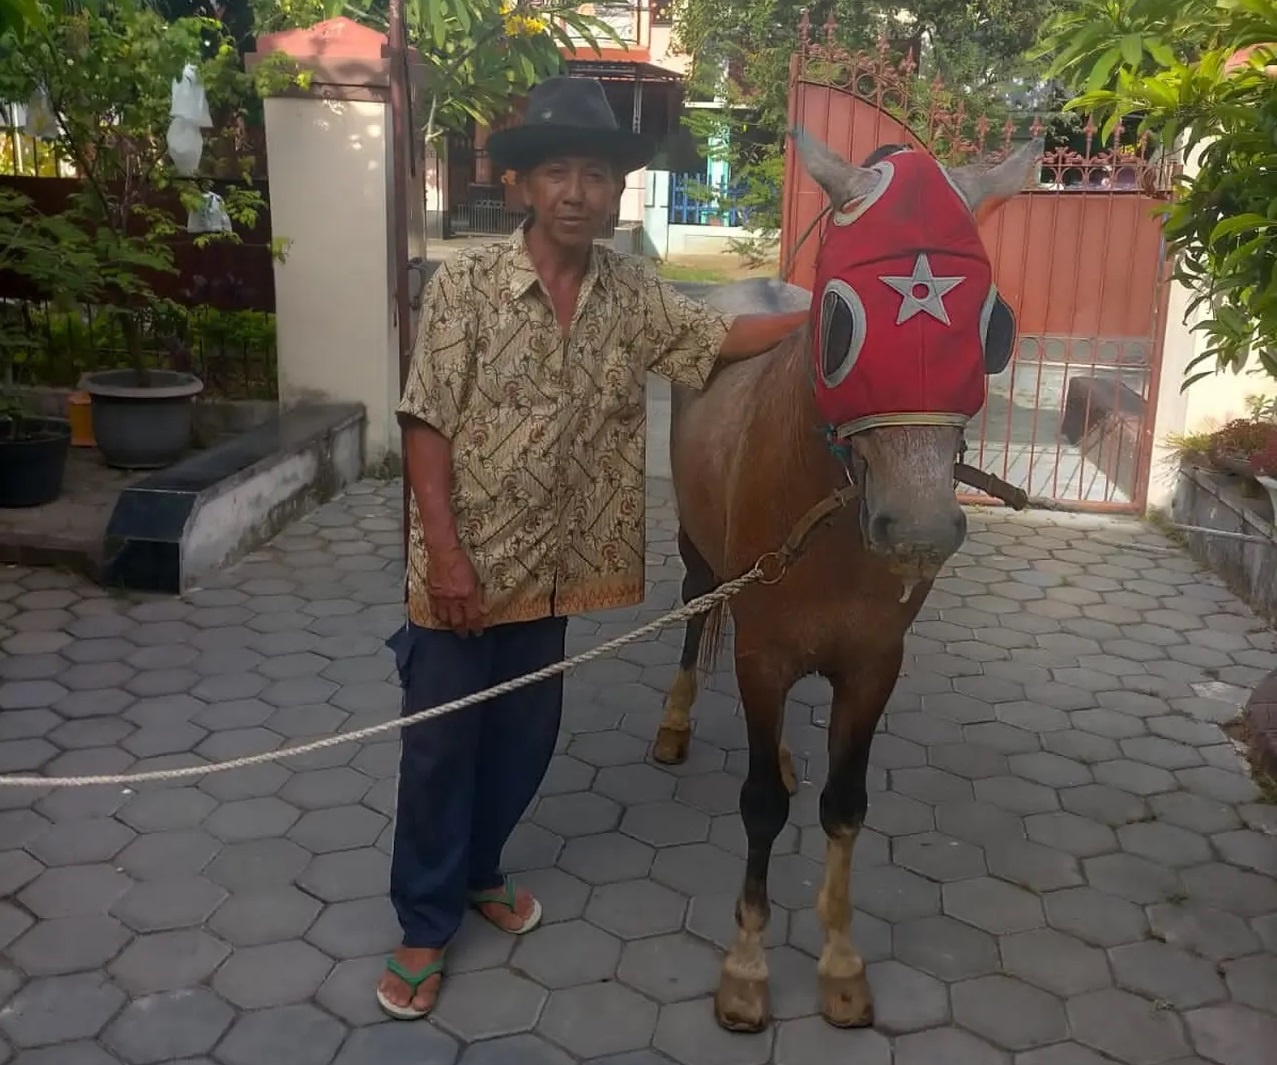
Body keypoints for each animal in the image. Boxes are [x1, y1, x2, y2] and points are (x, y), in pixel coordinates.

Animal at [653, 130, 1042, 1031]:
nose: (919, 528)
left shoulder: (871, 664)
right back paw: (676, 720)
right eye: (836, 322)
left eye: (996, 327)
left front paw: (838, 961)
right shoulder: (760, 651)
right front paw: (747, 969)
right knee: (694, 613)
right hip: (701, 556)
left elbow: (844, 804)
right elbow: (761, 806)